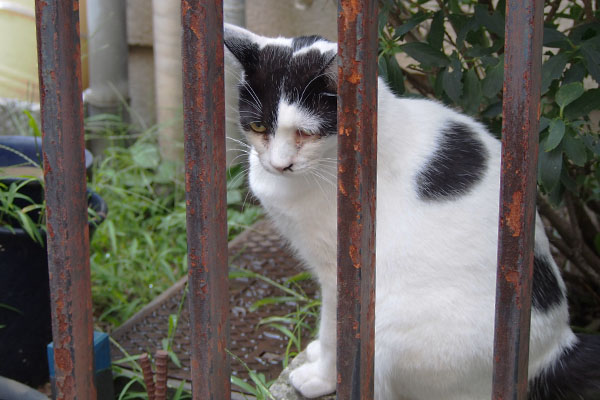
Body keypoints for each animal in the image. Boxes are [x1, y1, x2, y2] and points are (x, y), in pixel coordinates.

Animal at [223, 25, 600, 400]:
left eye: (307, 132)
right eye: (258, 127)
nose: (279, 165)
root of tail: (553, 351)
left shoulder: (342, 271)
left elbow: (334, 329)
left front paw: (323, 377)